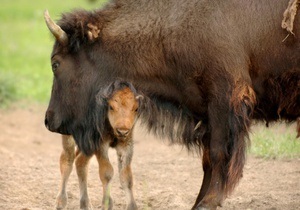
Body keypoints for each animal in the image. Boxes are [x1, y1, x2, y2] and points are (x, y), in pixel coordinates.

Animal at [56, 80, 143, 210]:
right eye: (111, 107)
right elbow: (107, 172)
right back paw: (61, 202)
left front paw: (132, 206)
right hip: (68, 137)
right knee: (67, 161)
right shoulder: (100, 145)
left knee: (80, 163)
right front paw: (107, 204)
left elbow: (126, 176)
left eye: (136, 108)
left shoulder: (126, 145)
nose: (122, 131)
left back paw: (85, 204)